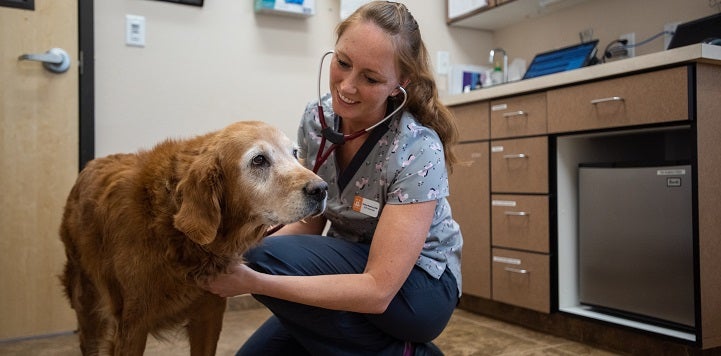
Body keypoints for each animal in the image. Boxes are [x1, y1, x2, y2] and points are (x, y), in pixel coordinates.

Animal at [60, 121, 328, 354]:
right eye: (259, 159)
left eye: (295, 153)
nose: (322, 189)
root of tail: (90, 164)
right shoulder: (132, 324)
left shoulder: (209, 313)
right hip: (87, 300)